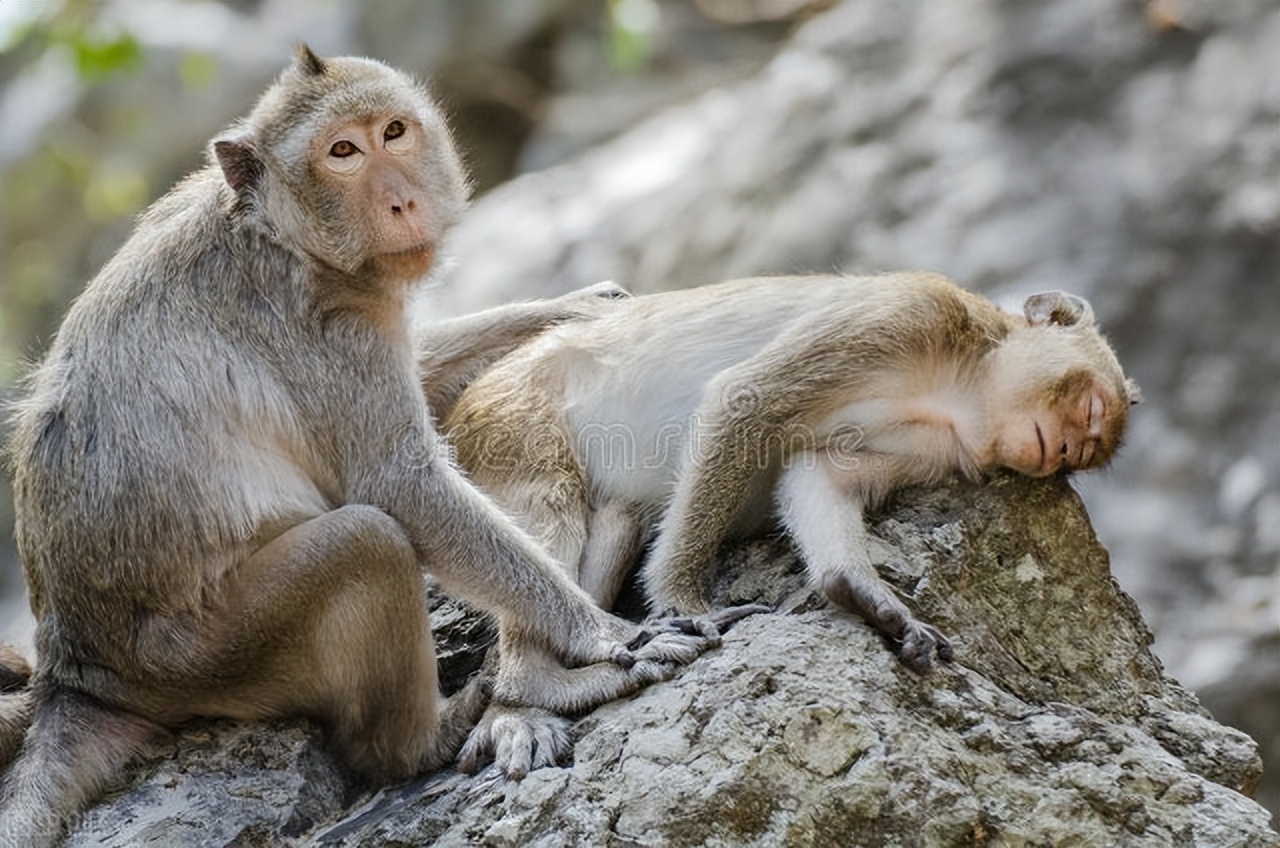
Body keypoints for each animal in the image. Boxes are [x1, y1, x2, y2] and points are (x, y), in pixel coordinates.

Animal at [442, 274, 1141, 676]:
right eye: (1090, 410)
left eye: (1083, 453)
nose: (1065, 450)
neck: (961, 386)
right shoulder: (903, 314)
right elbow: (742, 401)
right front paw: (683, 601)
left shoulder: (940, 444)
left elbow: (821, 473)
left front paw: (867, 597)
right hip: (510, 417)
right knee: (545, 516)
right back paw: (533, 697)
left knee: (612, 521)